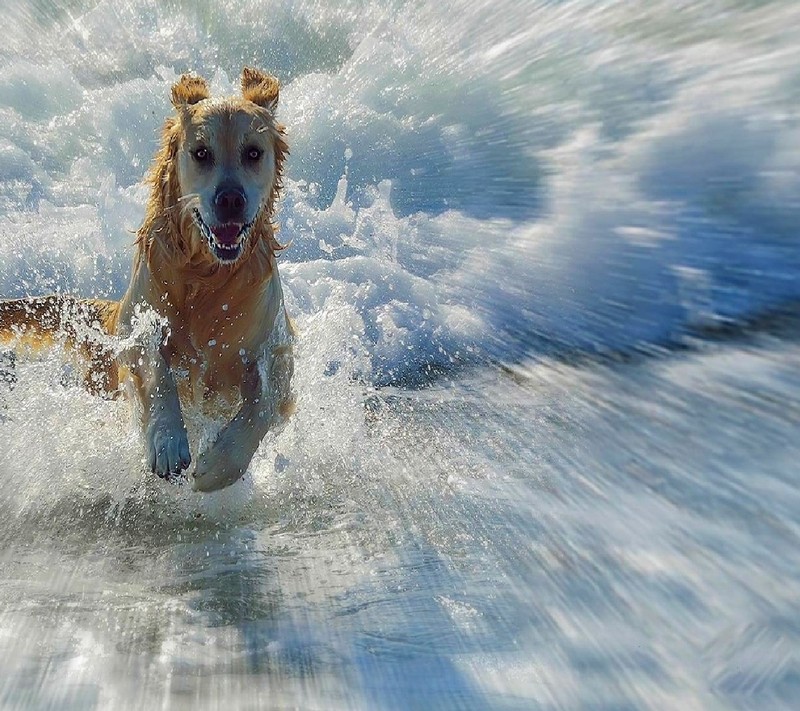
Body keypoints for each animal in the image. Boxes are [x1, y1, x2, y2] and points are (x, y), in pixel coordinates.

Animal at [0, 69, 296, 492]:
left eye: (253, 153)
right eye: (201, 153)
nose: (230, 200)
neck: (207, 278)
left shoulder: (276, 350)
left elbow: (263, 403)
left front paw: (219, 465)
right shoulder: (135, 323)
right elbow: (157, 367)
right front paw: (168, 440)